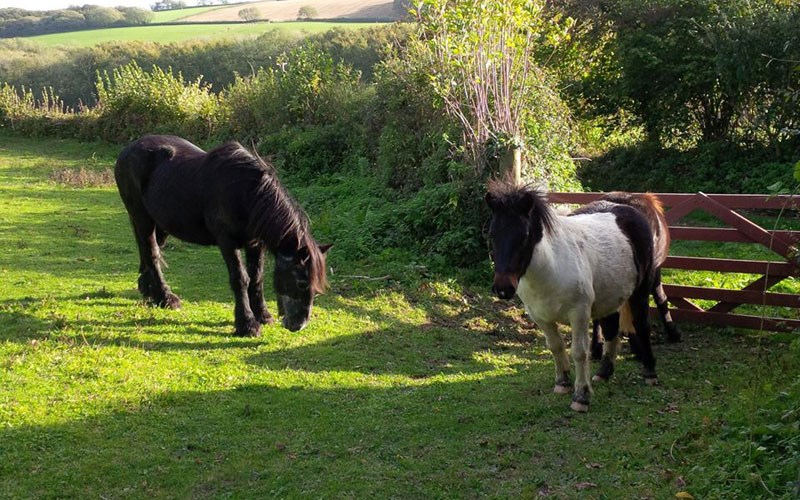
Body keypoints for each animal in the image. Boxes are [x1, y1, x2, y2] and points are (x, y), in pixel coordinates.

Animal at [114, 135, 330, 334]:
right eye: (302, 283)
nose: (299, 325)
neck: (244, 194)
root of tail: (127, 149)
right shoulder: (227, 242)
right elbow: (240, 278)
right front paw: (247, 324)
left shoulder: (255, 243)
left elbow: (257, 277)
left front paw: (263, 315)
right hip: (142, 217)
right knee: (152, 253)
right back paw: (166, 298)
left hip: (160, 223)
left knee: (148, 250)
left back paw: (147, 290)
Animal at [484, 182, 660, 412]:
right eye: (492, 235)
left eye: (524, 236)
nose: (503, 288)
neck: (550, 268)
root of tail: (631, 210)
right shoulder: (540, 317)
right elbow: (556, 346)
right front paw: (563, 383)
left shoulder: (579, 314)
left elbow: (579, 352)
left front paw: (581, 396)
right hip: (610, 297)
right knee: (611, 329)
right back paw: (604, 373)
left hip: (640, 292)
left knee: (641, 324)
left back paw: (649, 372)